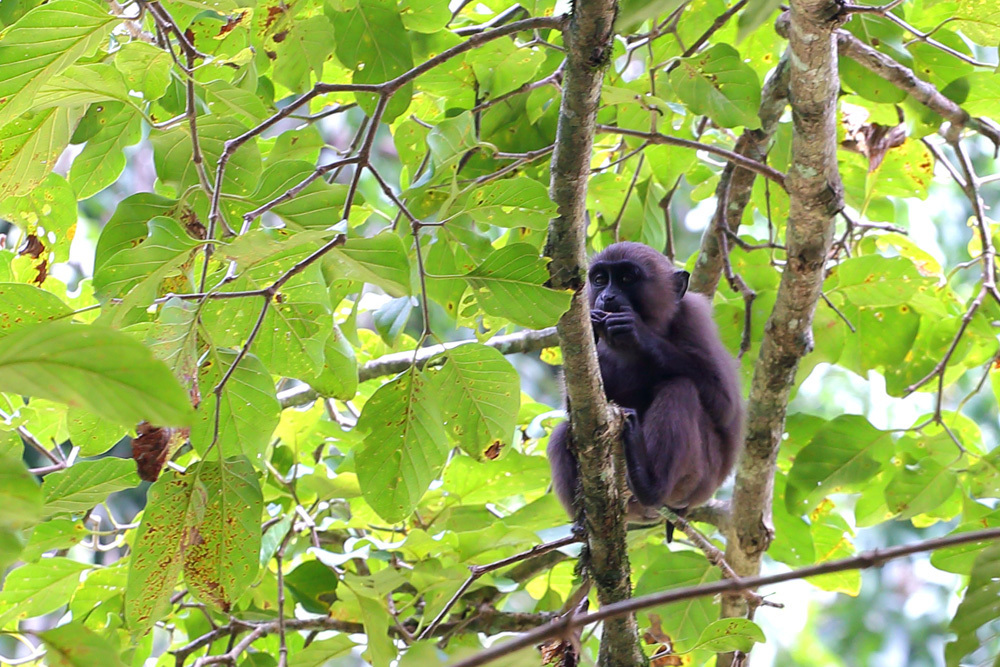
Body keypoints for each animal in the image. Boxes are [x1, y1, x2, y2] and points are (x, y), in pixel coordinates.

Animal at [547, 242, 744, 535]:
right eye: (600, 279)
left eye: (627, 279)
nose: (606, 297)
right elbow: (581, 411)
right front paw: (593, 328)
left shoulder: (694, 319)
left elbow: (726, 407)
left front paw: (638, 334)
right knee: (564, 432)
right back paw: (585, 522)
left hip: (697, 478)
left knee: (680, 387)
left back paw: (648, 484)